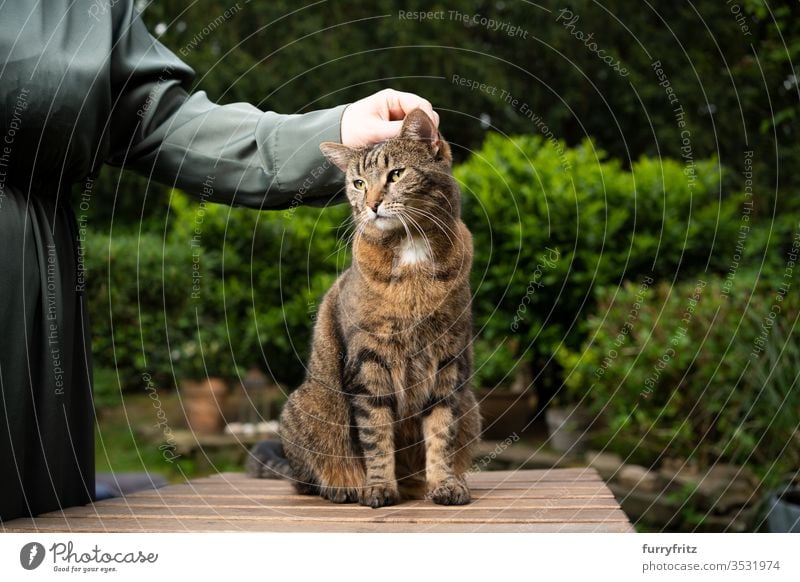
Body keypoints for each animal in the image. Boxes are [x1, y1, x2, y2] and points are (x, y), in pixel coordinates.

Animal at [247, 108, 478, 506]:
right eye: (357, 183)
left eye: (396, 174)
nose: (371, 204)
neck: (411, 249)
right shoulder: (368, 361)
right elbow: (376, 433)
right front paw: (379, 486)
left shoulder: (448, 362)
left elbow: (441, 431)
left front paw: (444, 483)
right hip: (308, 406)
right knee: (307, 479)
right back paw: (345, 486)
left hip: (472, 404)